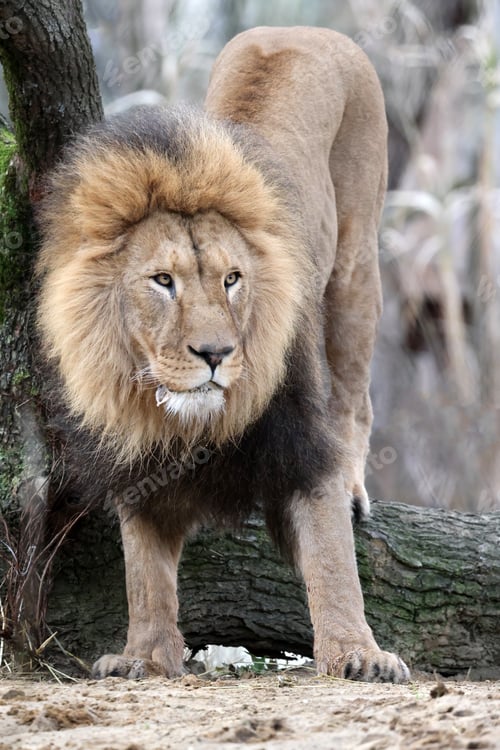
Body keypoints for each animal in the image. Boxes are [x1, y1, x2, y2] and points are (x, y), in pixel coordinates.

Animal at [37, 26, 410, 683]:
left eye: (233, 279)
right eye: (163, 281)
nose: (215, 354)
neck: (187, 419)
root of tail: (306, 29)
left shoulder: (302, 440)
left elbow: (332, 557)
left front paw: (358, 654)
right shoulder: (137, 460)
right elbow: (144, 572)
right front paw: (145, 655)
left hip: (356, 268)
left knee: (355, 396)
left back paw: (357, 485)